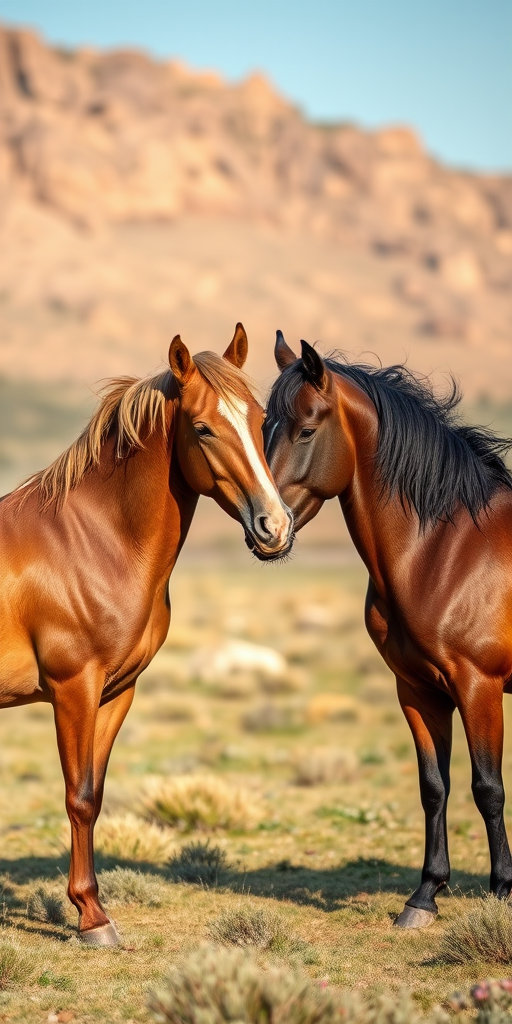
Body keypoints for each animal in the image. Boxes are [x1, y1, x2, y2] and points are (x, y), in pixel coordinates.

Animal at [0, 324, 293, 946]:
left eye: (260, 420)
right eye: (202, 428)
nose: (275, 527)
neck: (90, 544)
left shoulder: (116, 693)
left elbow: (95, 795)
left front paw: (91, 909)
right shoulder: (73, 691)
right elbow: (79, 797)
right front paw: (92, 918)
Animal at [265, 331, 512, 929]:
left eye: (306, 429)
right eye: (263, 426)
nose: (264, 528)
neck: (444, 551)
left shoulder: (480, 688)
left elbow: (488, 788)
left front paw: (501, 890)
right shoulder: (419, 690)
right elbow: (434, 787)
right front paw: (424, 895)